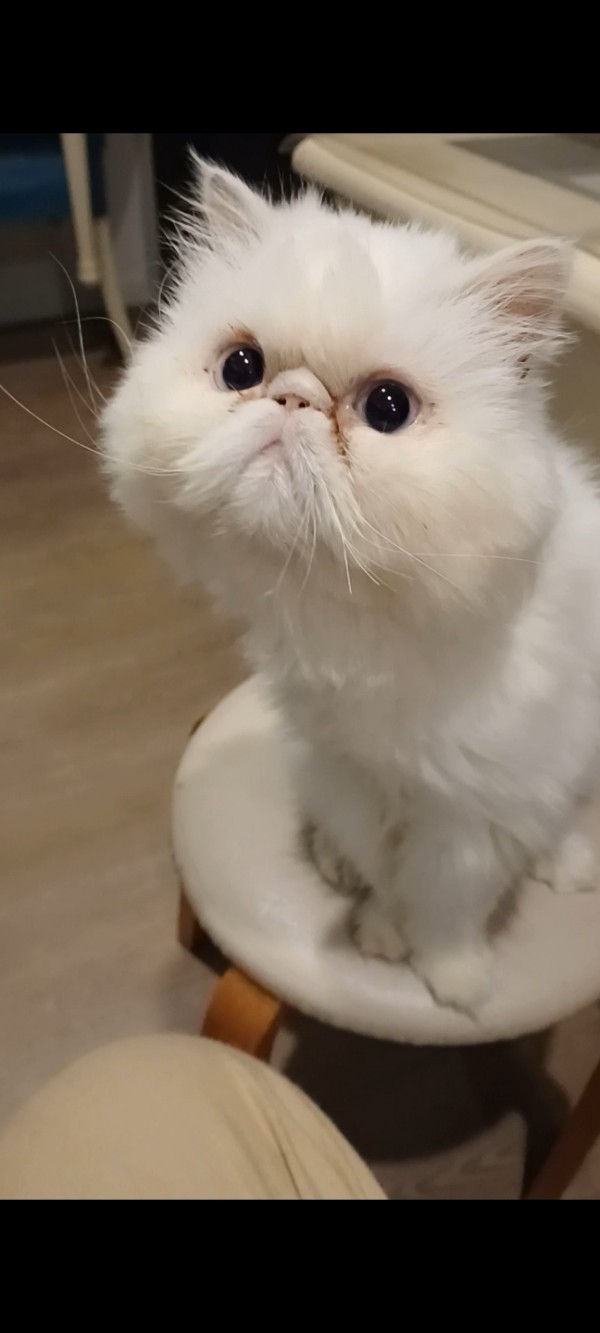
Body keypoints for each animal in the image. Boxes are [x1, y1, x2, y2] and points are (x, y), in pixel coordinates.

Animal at [100, 158, 600, 1013]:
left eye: (387, 408)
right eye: (242, 368)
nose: (292, 399)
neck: (362, 627)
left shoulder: (470, 808)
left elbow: (446, 898)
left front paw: (453, 979)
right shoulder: (344, 768)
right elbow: (382, 864)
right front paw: (381, 932)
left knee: (563, 814)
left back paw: (565, 865)